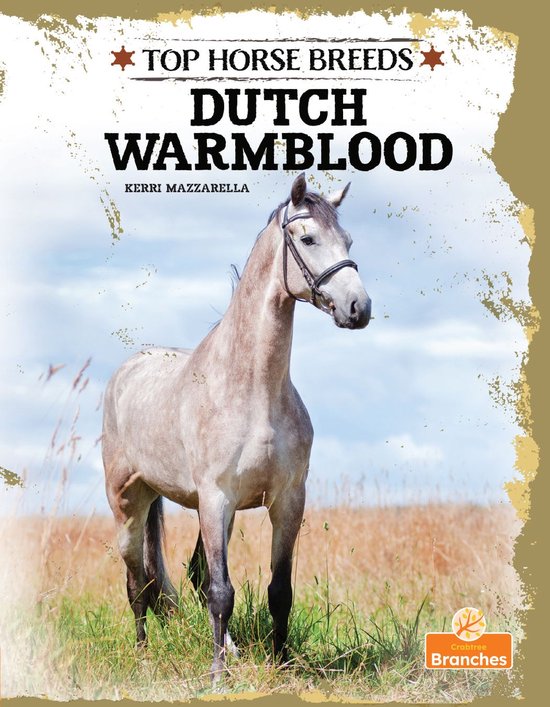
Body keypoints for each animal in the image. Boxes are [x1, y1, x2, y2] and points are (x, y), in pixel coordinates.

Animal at [102, 172, 371, 682]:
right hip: (130, 503)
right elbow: (222, 591)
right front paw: (217, 674)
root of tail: (126, 371)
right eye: (307, 239)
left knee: (190, 576)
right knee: (136, 582)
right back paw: (144, 655)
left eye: (347, 240)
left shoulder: (287, 501)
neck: (252, 391)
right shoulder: (216, 498)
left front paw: (280, 663)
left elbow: (278, 591)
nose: (358, 307)